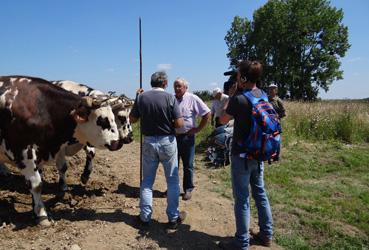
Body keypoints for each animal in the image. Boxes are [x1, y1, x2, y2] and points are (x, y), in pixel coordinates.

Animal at [0, 75, 121, 226]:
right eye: (102, 120)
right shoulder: (24, 153)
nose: (118, 142)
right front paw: (42, 215)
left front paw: (36, 208)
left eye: (114, 118)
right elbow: (36, 184)